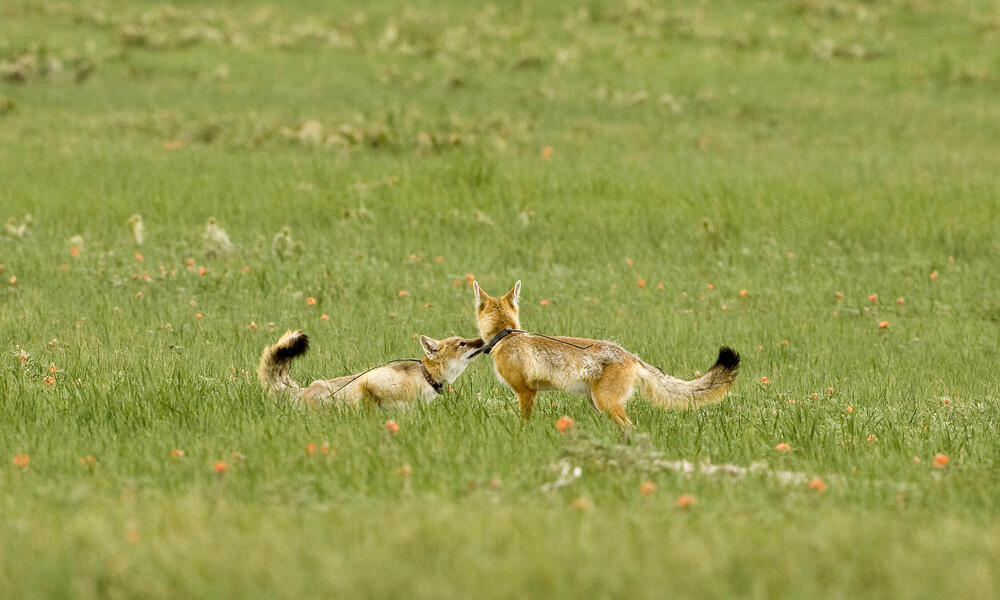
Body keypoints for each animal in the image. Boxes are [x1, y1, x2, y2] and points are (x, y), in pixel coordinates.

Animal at [472, 280, 740, 426]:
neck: (507, 337)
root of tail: (632, 356)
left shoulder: (526, 393)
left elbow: (522, 424)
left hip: (606, 404)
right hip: (599, 404)